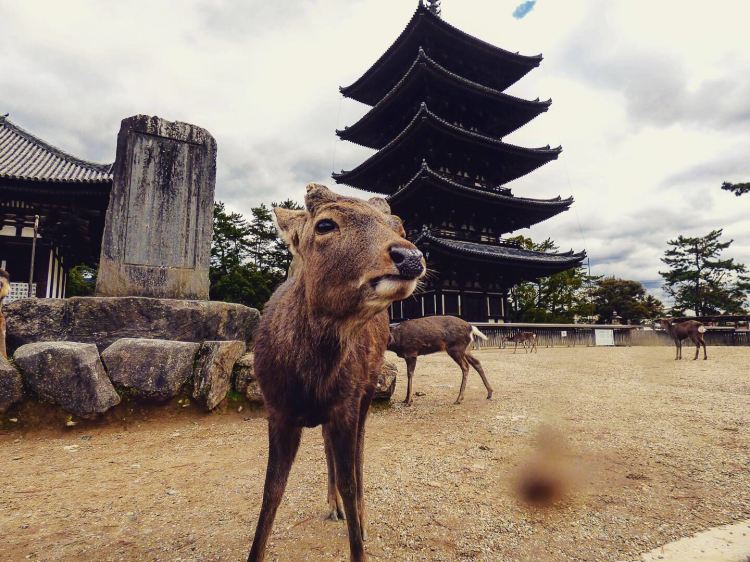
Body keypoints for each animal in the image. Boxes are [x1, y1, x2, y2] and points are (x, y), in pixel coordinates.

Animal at [247, 184, 425, 562]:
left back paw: (357, 514)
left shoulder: (347, 402)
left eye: (398, 226)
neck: (309, 380)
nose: (410, 256)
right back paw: (333, 506)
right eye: (325, 224)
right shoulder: (276, 409)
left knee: (358, 455)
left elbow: (349, 480)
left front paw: (359, 538)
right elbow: (271, 491)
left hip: (368, 389)